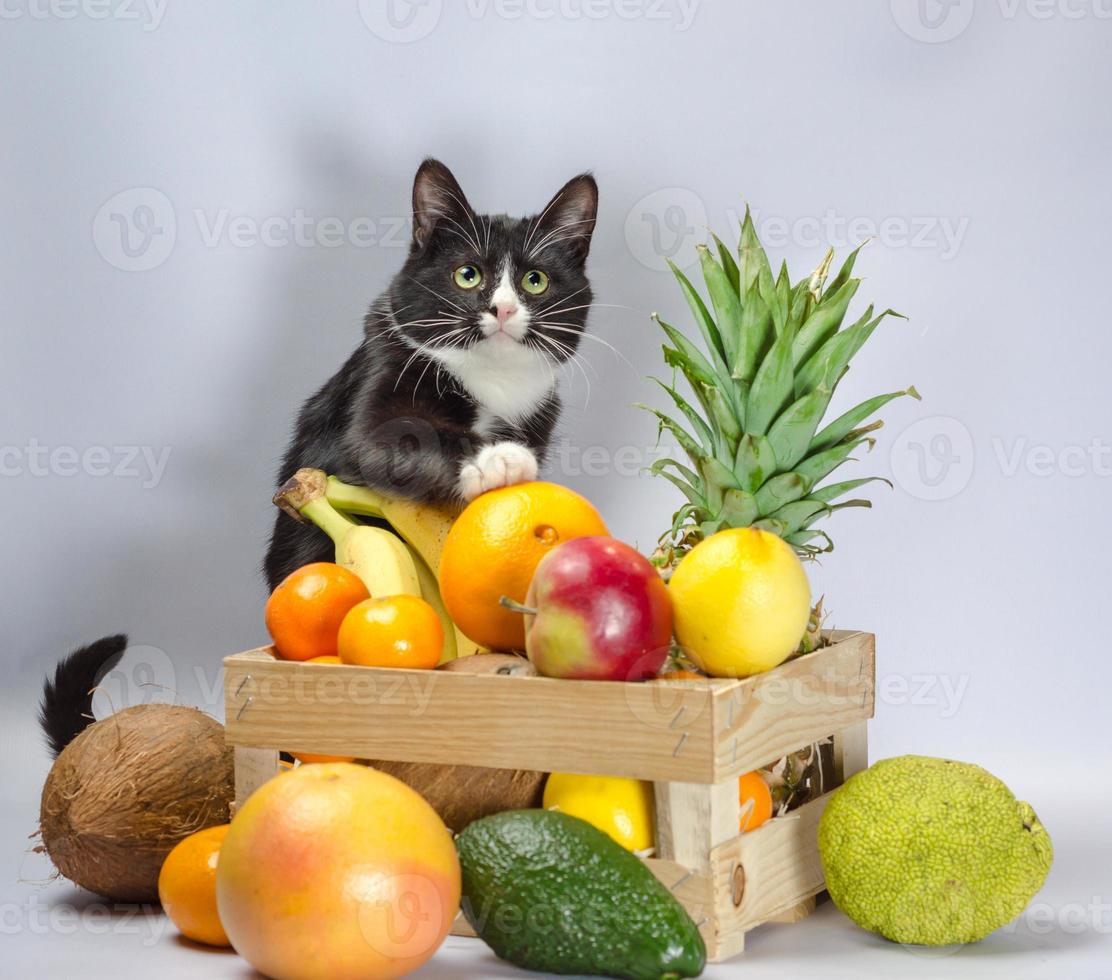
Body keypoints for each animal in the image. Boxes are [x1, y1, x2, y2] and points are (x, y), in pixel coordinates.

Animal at [263, 160, 596, 582]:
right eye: (467, 275)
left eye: (535, 281)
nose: (503, 309)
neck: (491, 375)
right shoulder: (381, 370)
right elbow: (393, 436)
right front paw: (500, 458)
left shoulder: (541, 408)